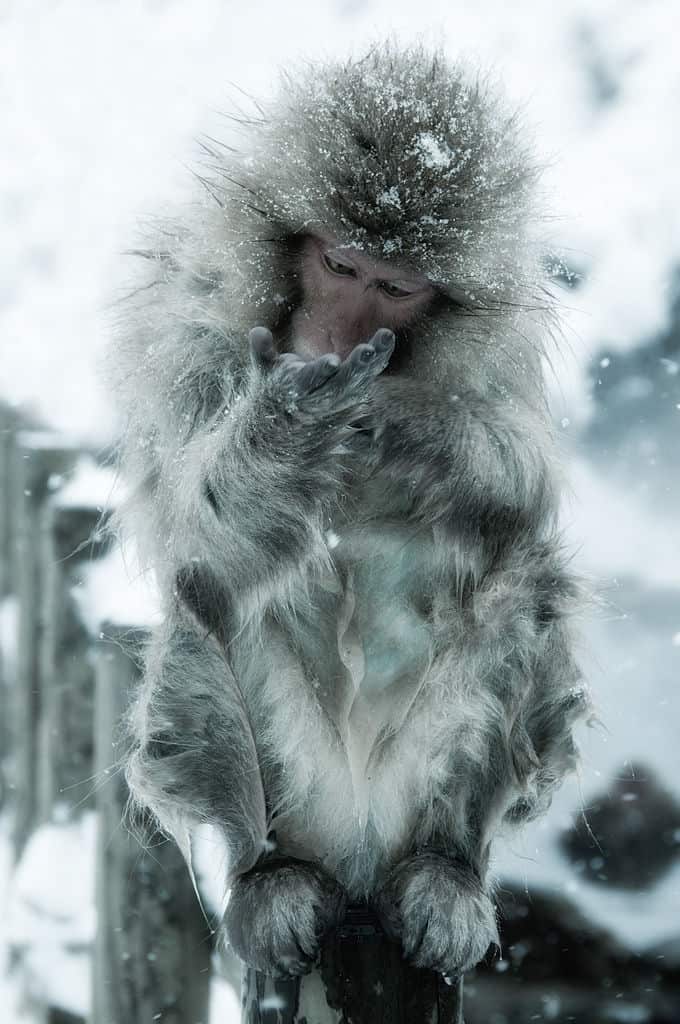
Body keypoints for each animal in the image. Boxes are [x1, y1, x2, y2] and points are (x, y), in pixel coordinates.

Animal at [109, 44, 590, 982]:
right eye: (337, 267)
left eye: (392, 285)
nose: (337, 333)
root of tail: (357, 855)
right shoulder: (195, 311)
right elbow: (183, 509)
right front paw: (294, 424)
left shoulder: (503, 346)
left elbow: (523, 476)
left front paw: (404, 422)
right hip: (302, 793)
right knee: (207, 589)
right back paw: (266, 879)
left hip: (411, 787)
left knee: (522, 566)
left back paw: (445, 871)